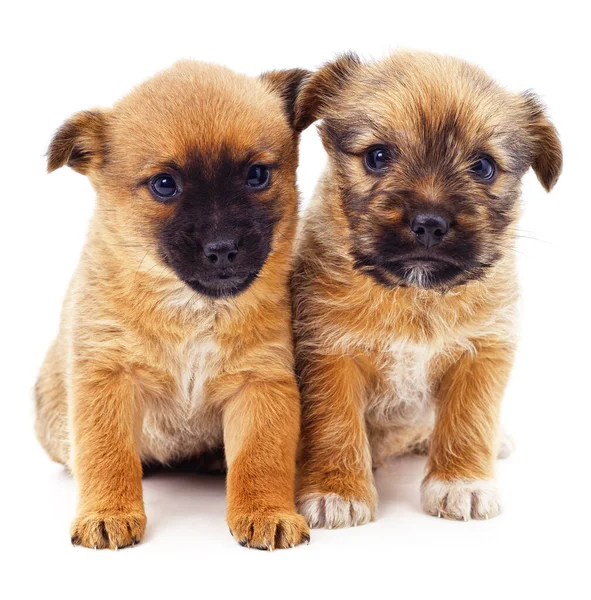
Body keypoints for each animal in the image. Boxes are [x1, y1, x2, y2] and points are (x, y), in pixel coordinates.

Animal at [35, 59, 314, 548]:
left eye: (257, 175)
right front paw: (108, 513)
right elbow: (107, 454)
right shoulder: (107, 377)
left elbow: (261, 458)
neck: (193, 311)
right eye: (165, 185)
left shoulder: (261, 383)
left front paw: (267, 512)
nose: (223, 249)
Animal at [294, 54, 560, 528]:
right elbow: (335, 425)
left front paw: (462, 483)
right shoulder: (330, 354)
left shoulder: (482, 352)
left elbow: (468, 421)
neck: (415, 297)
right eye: (378, 156)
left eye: (483, 167)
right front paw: (336, 490)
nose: (430, 224)